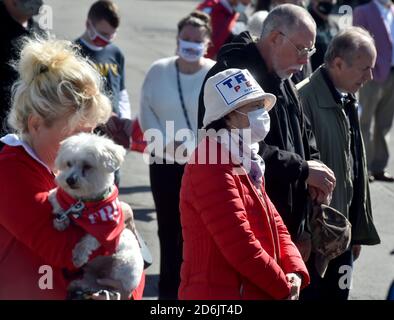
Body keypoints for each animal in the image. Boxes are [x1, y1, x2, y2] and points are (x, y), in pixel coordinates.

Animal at [48, 131, 143, 298]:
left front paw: (78, 255)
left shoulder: (107, 231)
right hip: (93, 273)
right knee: (91, 282)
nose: (69, 179)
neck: (84, 203)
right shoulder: (59, 196)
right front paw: (61, 220)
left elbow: (90, 239)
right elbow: (57, 201)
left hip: (124, 265)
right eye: (68, 164)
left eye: (87, 166)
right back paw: (78, 285)